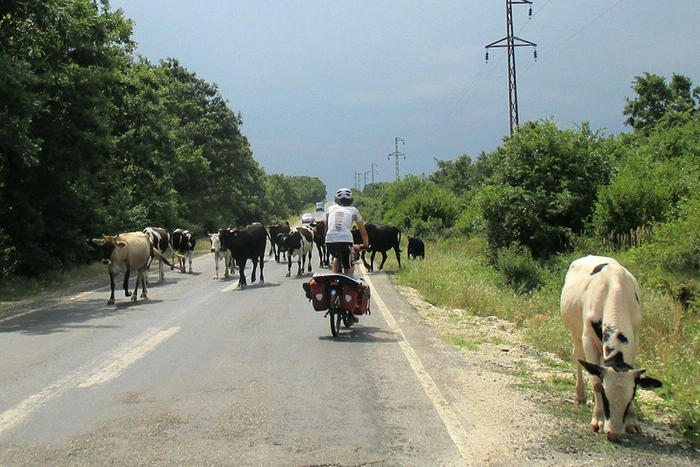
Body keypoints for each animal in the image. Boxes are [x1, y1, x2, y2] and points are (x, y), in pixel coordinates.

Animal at [556, 256, 660, 442]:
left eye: (631, 397)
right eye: (605, 397)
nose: (614, 434)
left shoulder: (635, 337)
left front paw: (632, 422)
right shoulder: (588, 338)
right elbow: (596, 380)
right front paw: (598, 420)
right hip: (575, 330)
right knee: (578, 358)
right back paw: (580, 396)